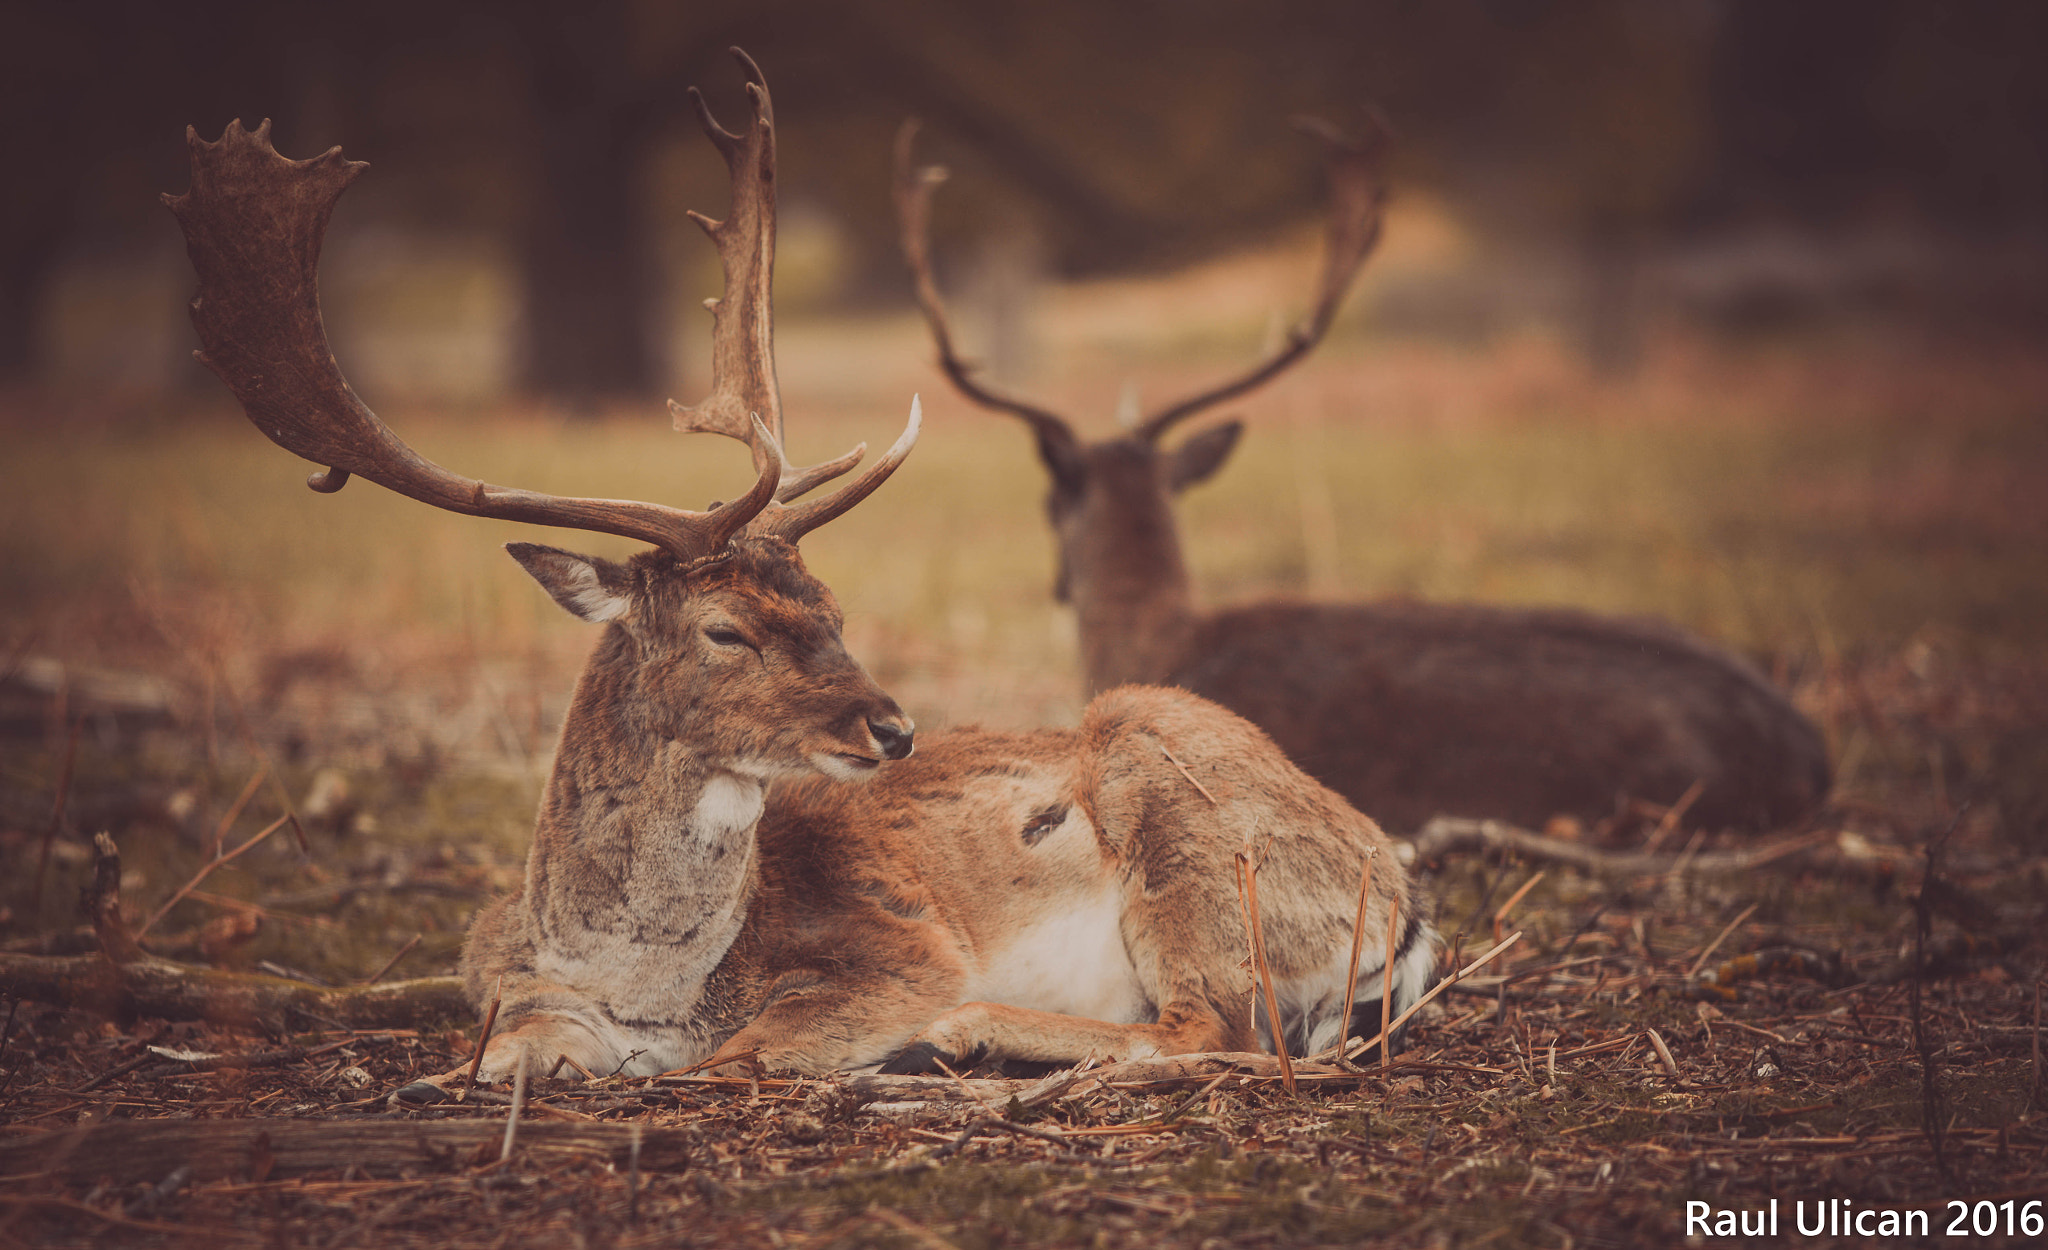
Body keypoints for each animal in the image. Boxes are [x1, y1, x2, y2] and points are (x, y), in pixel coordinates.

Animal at [166, 50, 1436, 1087]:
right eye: (725, 628)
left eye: (828, 605)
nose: (893, 726)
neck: (639, 981)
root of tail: (1401, 893)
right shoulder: (508, 984)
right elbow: (504, 1052)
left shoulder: (888, 956)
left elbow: (740, 1053)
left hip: (1188, 824)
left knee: (1215, 1024)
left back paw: (964, 1036)